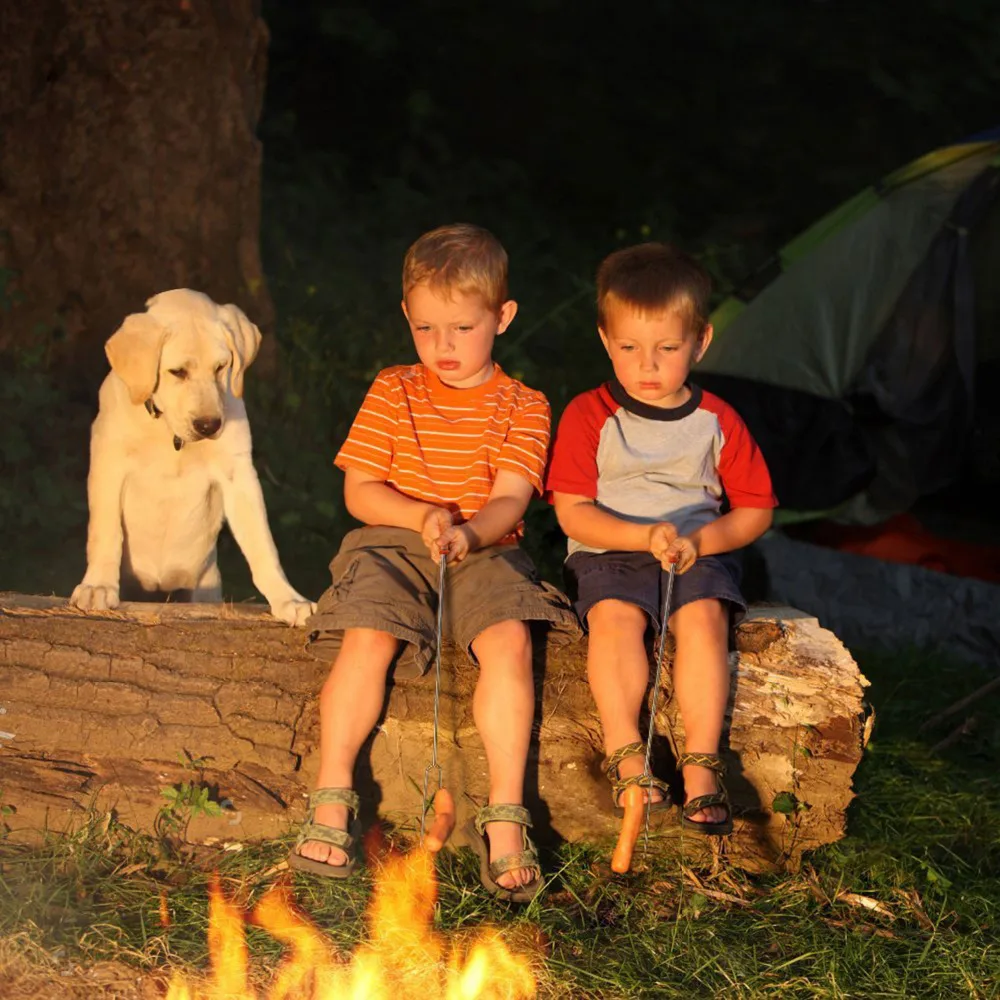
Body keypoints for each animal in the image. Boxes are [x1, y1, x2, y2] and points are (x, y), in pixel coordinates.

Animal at [72, 286, 314, 624]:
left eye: (221, 367)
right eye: (178, 372)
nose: (209, 425)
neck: (172, 436)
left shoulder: (239, 475)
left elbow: (262, 543)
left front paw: (288, 598)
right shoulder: (109, 464)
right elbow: (105, 530)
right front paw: (97, 586)